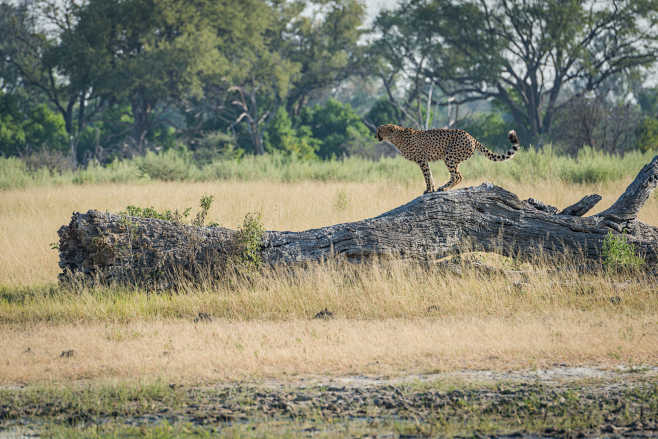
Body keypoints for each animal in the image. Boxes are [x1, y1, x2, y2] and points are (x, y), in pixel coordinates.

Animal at [376, 124, 520, 192]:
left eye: (379, 130)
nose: (375, 136)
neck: (396, 137)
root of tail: (471, 136)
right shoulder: (425, 160)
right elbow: (430, 175)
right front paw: (432, 189)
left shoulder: (421, 159)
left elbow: (427, 176)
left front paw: (428, 190)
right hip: (454, 159)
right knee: (457, 175)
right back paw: (443, 187)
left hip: (449, 157)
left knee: (457, 176)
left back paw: (444, 188)